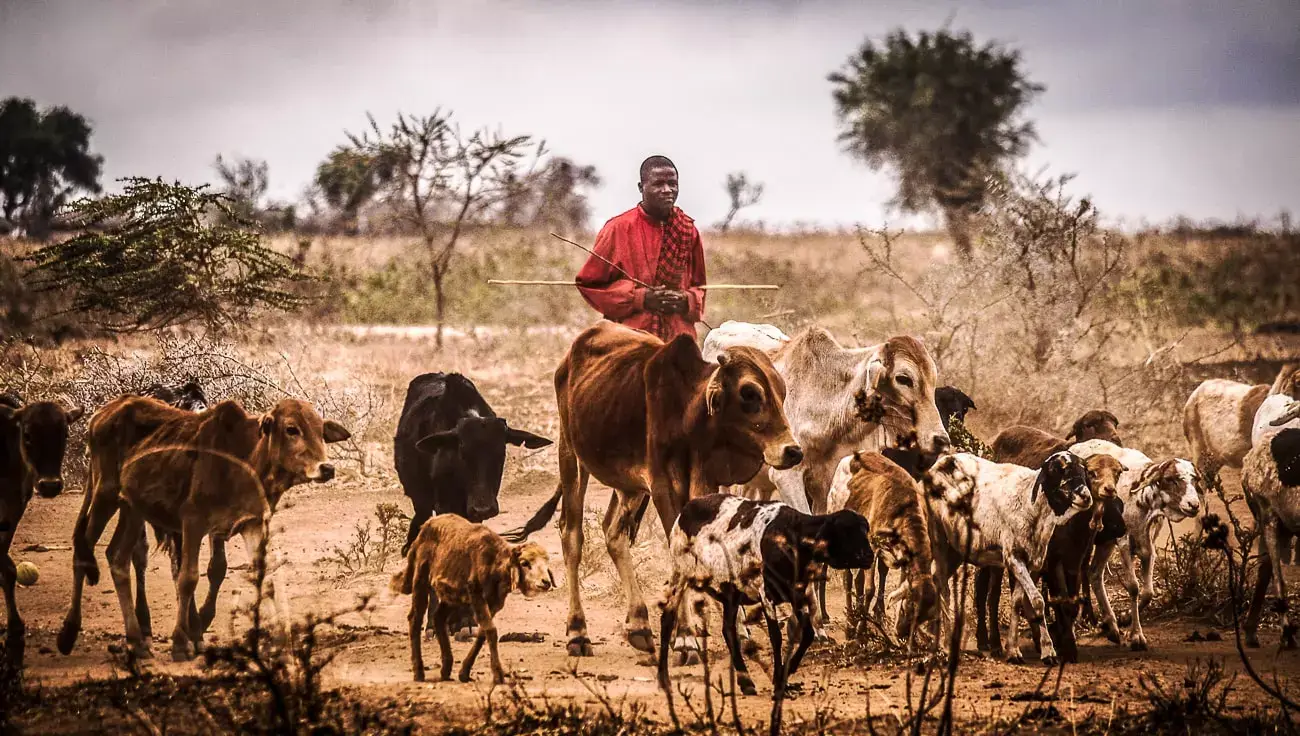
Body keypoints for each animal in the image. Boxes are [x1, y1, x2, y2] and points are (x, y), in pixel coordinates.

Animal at [0, 397, 82, 670]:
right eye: (27, 434)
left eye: (64, 434)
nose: (49, 485)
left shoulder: (14, 508)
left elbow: (7, 570)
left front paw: (15, 638)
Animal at [499, 321, 795, 657]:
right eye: (750, 393)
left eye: (781, 391)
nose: (792, 451)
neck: (688, 411)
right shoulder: (663, 487)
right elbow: (680, 554)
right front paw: (685, 637)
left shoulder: (705, 485)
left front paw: (740, 631)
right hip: (571, 455)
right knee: (571, 534)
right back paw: (578, 632)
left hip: (628, 485)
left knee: (614, 533)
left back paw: (639, 624)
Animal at [660, 494, 873, 702]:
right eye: (846, 531)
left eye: (865, 529)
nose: (869, 556)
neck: (791, 537)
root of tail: (686, 509)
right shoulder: (767, 594)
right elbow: (776, 637)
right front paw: (779, 683)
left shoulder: (796, 595)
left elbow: (807, 633)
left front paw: (788, 674)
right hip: (680, 573)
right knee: (667, 618)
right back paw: (664, 679)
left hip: (731, 591)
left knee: (728, 629)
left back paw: (746, 681)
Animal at [925, 452, 1097, 665]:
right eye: (1058, 470)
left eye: (1083, 470)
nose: (1086, 497)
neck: (1031, 506)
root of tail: (944, 460)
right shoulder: (1013, 557)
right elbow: (1037, 600)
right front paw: (1048, 651)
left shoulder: (1030, 562)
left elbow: (1017, 602)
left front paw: (1013, 651)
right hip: (938, 535)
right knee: (943, 586)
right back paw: (948, 648)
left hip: (956, 547)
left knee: (936, 579)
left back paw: (938, 643)